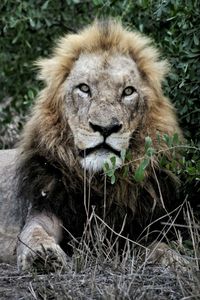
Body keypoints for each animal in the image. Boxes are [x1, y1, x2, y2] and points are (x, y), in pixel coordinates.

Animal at [0, 19, 188, 270]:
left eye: (128, 91)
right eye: (84, 88)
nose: (105, 128)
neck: (100, 184)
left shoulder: (134, 226)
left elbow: (158, 244)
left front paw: (174, 259)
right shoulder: (45, 208)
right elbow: (33, 233)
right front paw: (42, 255)